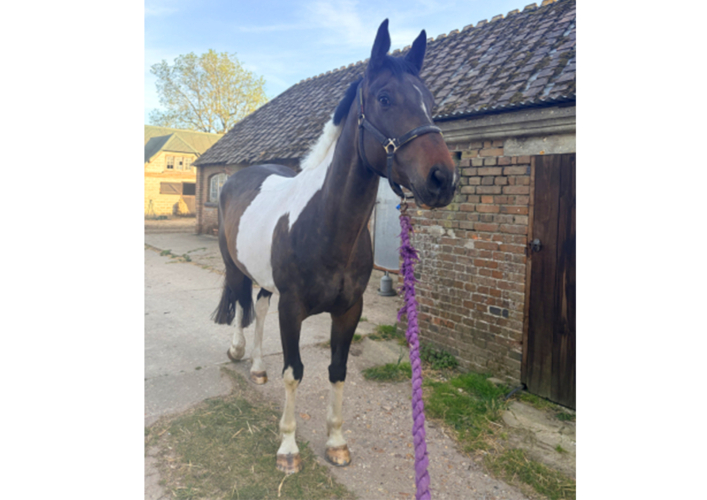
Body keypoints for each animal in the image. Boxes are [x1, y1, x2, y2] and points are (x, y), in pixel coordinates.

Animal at [212, 19, 458, 474]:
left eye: (430, 101)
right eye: (384, 98)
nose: (443, 179)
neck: (326, 226)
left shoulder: (349, 310)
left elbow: (338, 370)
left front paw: (337, 442)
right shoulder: (293, 310)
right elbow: (294, 371)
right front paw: (288, 448)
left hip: (266, 280)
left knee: (259, 307)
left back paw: (257, 368)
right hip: (235, 264)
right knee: (239, 301)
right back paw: (238, 351)